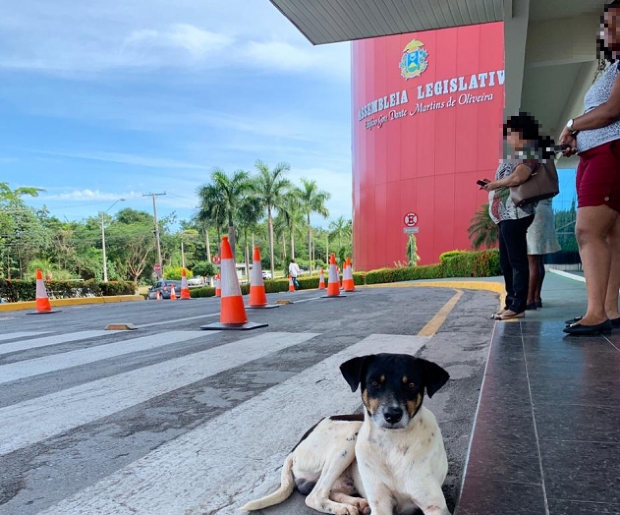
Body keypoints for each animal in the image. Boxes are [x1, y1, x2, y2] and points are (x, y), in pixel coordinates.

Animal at [241, 354, 450, 515]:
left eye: (412, 384)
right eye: (374, 383)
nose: (392, 415)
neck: (392, 443)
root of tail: (294, 450)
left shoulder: (435, 506)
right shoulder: (381, 504)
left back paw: (355, 503)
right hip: (352, 434)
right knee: (315, 495)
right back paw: (344, 508)